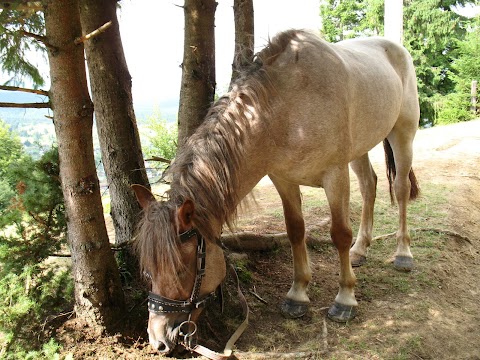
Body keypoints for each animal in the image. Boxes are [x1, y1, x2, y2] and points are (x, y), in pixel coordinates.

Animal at [132, 28, 420, 354]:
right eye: (147, 270)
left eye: (182, 269)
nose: (158, 338)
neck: (284, 109)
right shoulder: (283, 179)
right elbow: (295, 231)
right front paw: (297, 295)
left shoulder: (335, 176)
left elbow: (339, 234)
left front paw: (345, 298)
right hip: (360, 147)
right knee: (369, 185)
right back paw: (360, 250)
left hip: (402, 134)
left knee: (400, 189)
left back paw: (403, 254)